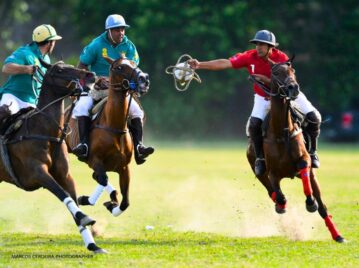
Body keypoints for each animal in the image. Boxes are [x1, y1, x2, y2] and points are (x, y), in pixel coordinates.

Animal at [0, 60, 107, 253]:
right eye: (60, 69)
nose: (91, 75)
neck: (46, 133)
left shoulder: (65, 175)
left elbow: (73, 200)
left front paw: (93, 244)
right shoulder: (38, 172)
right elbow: (62, 194)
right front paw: (85, 217)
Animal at [66, 57, 150, 217]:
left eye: (134, 63)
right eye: (119, 67)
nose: (144, 79)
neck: (114, 127)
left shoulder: (124, 167)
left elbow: (125, 202)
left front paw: (112, 204)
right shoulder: (95, 161)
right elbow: (103, 179)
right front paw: (87, 199)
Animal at [248, 60, 346, 243]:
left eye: (292, 70)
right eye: (276, 73)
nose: (293, 87)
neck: (282, 132)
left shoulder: (303, 161)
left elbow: (306, 178)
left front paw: (310, 203)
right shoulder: (272, 173)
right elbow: (278, 193)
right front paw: (281, 204)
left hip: (313, 177)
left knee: (323, 207)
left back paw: (338, 235)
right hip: (259, 172)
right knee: (271, 190)